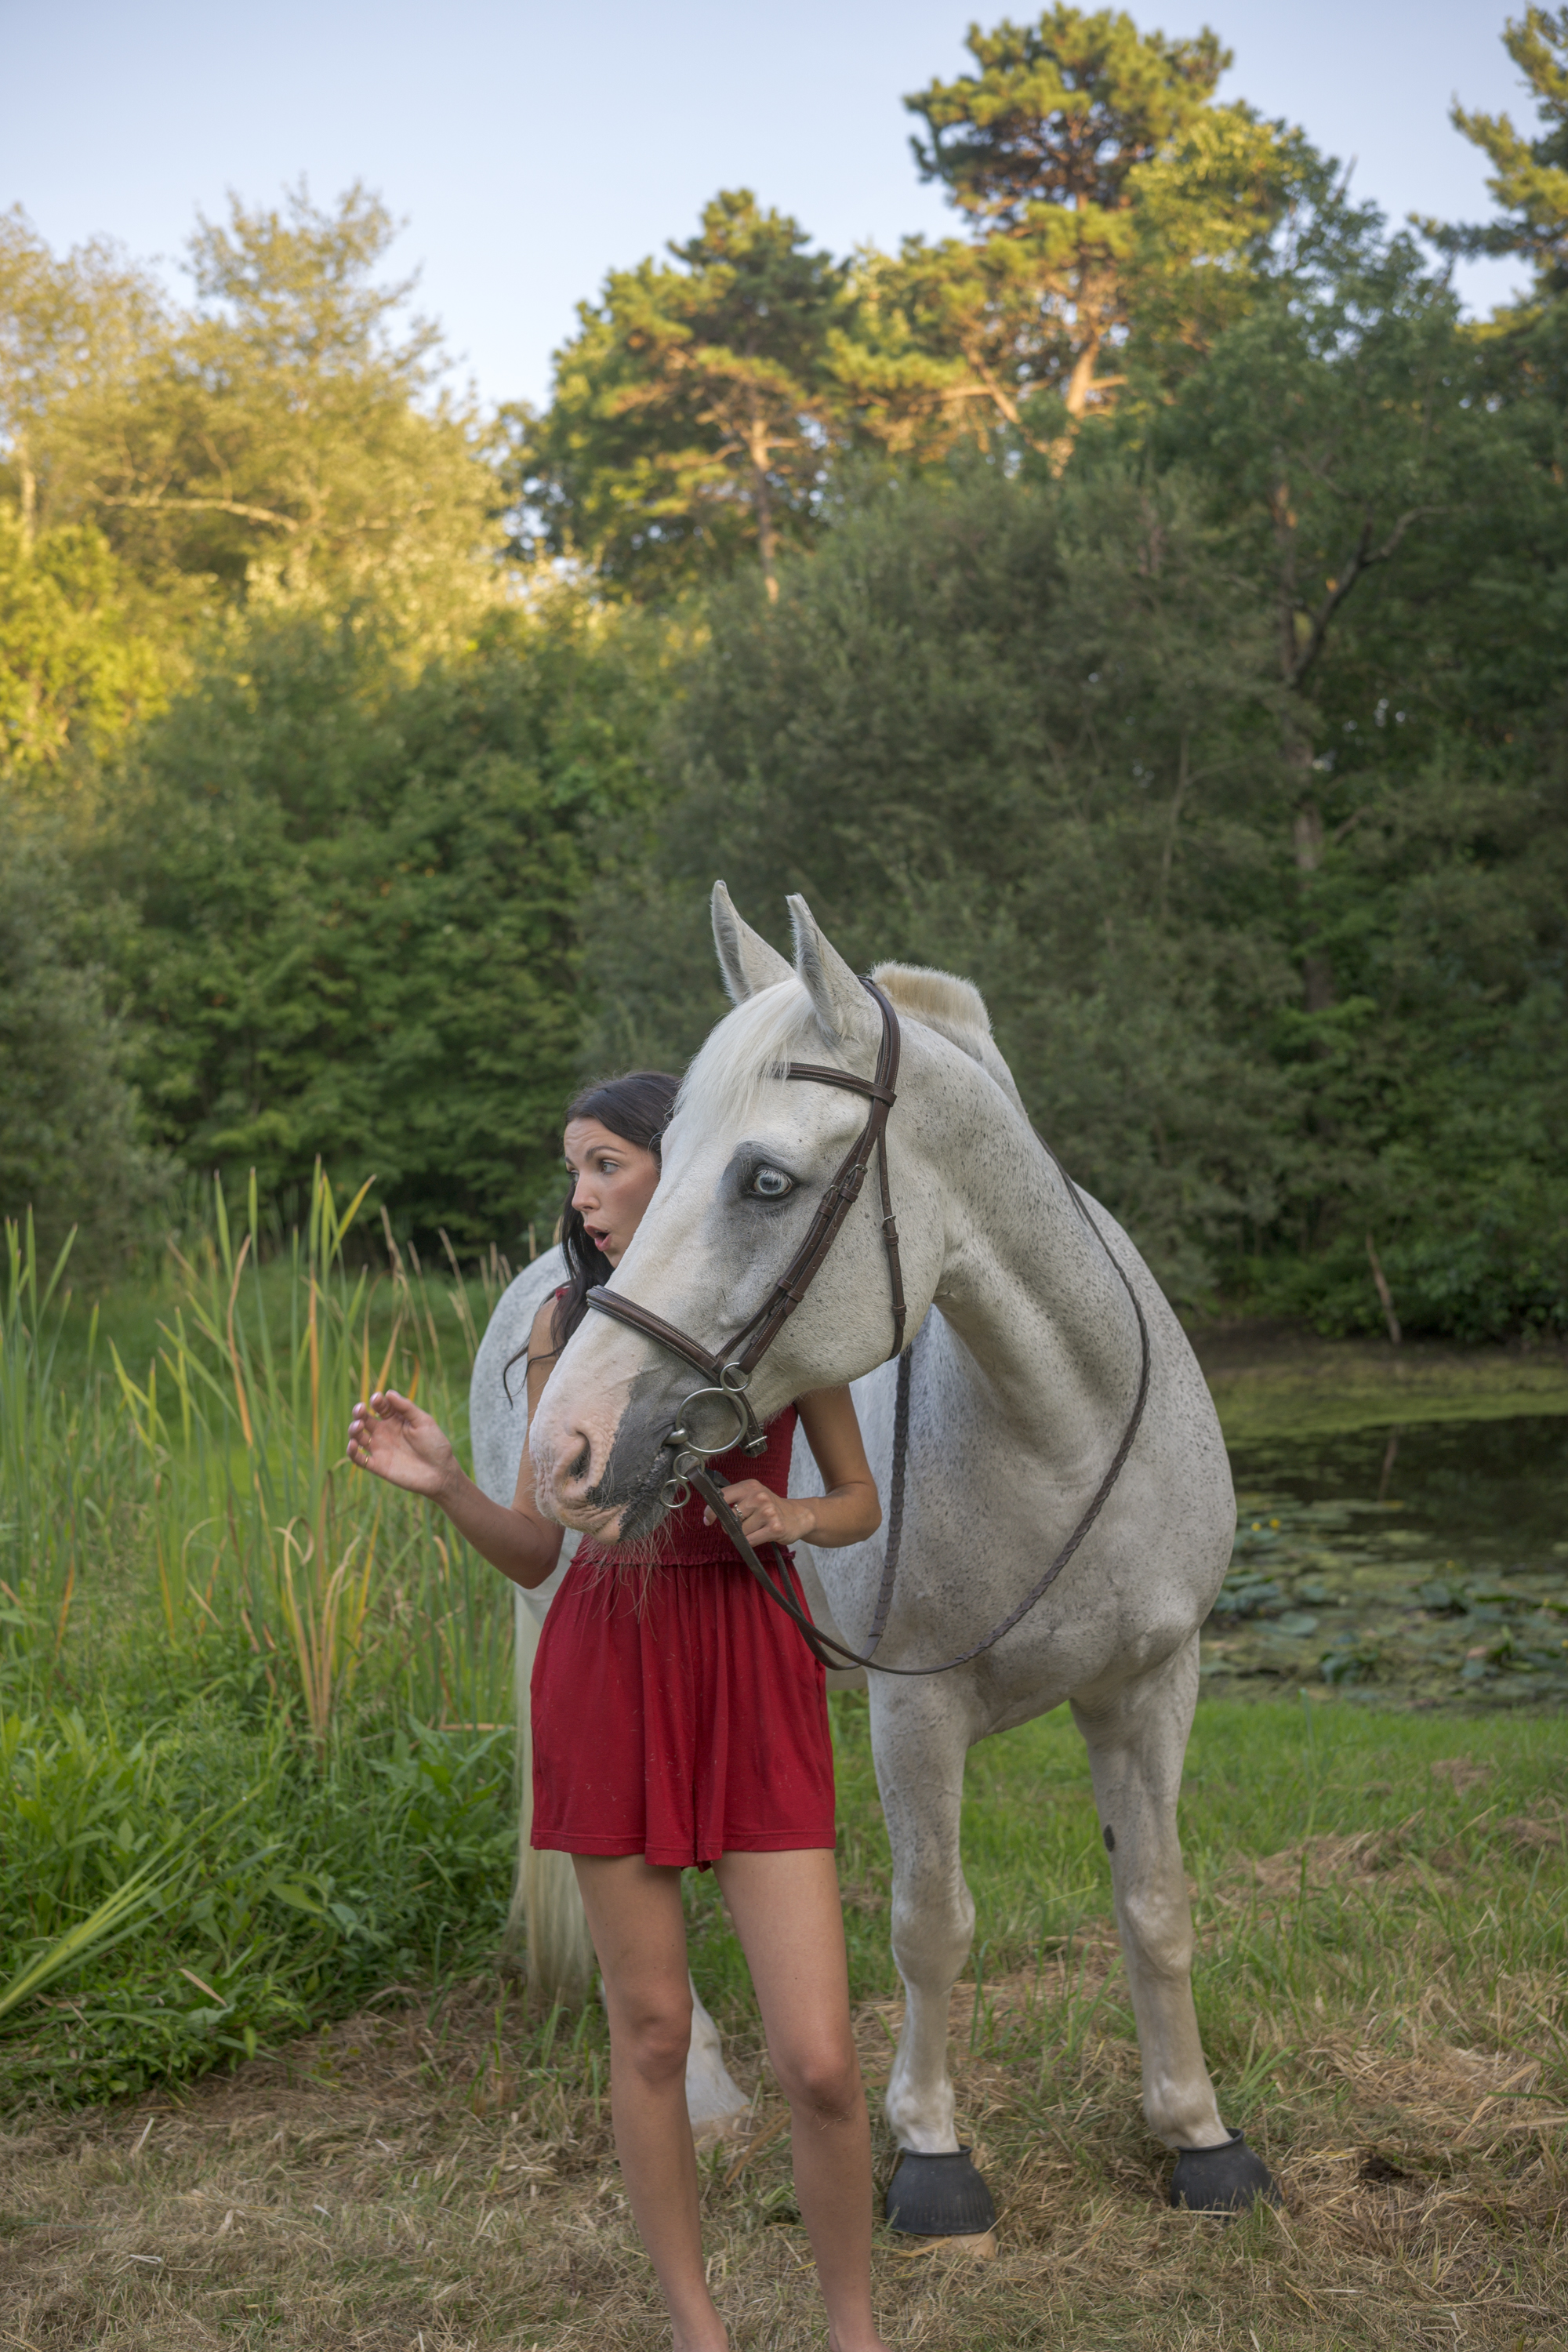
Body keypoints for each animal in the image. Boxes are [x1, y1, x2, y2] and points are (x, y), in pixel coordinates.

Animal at [470, 883, 1277, 2221]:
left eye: (764, 1180)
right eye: (659, 1167)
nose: (567, 1440)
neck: (1061, 1438)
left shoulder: (1153, 1684)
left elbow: (1157, 1905)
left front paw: (1197, 2134)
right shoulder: (919, 1714)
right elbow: (931, 1924)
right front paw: (930, 2154)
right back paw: (708, 2087)